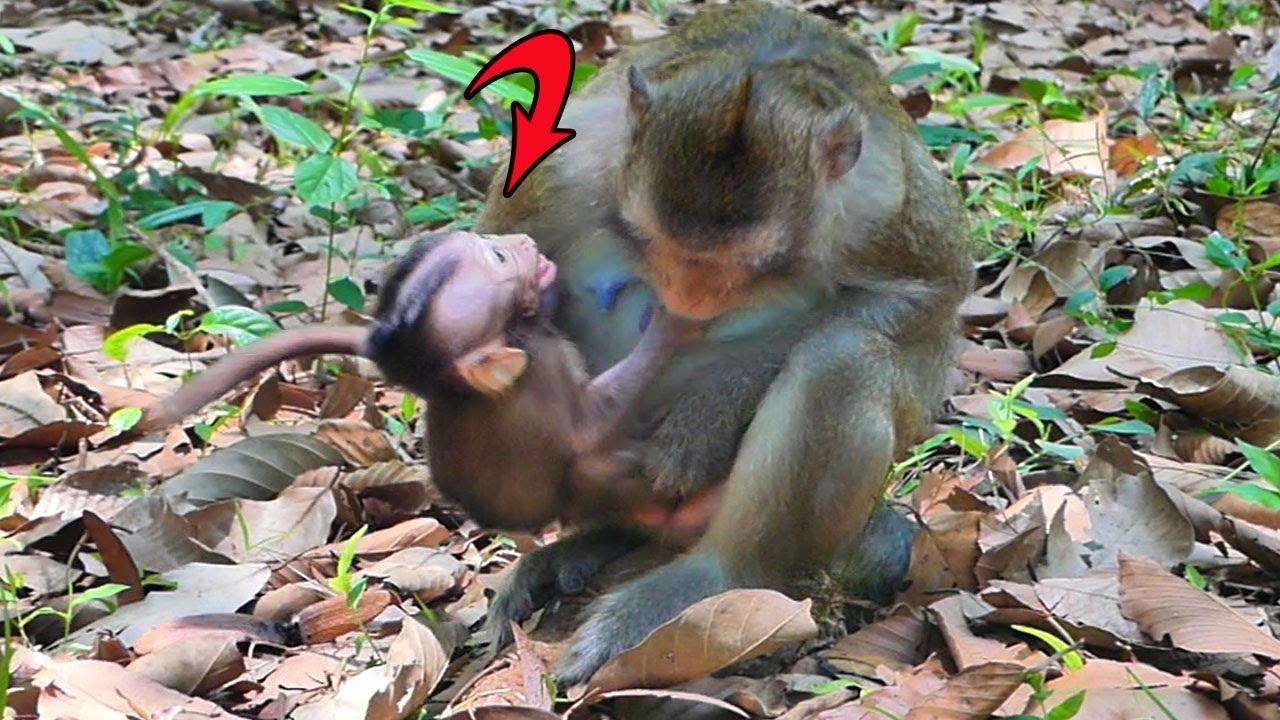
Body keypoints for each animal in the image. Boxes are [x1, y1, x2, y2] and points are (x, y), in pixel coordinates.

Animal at [137, 231, 702, 533]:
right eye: (498, 259)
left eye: (491, 243)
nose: (521, 240)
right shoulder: (542, 365)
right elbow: (587, 431)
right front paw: (677, 319)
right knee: (591, 470)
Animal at [473, 0, 975, 686]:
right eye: (659, 242)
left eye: (748, 264)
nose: (691, 296)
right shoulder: (556, 169)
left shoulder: (881, 200)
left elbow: (928, 290)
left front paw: (704, 421)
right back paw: (594, 541)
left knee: (841, 355)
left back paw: (710, 582)